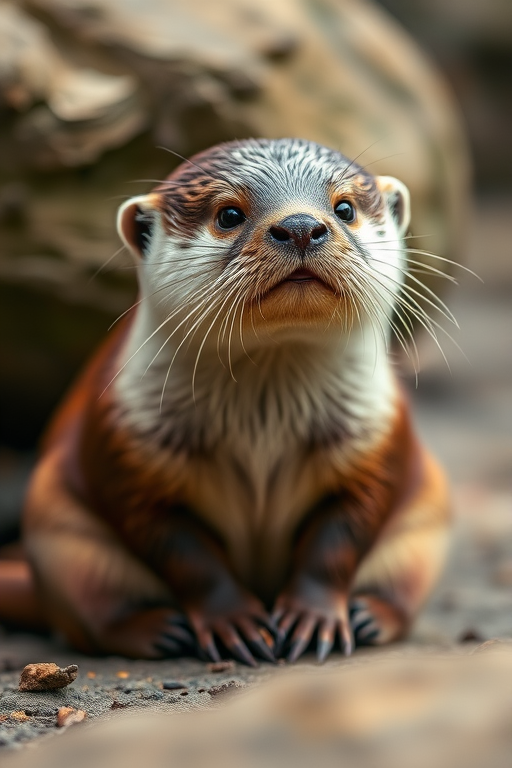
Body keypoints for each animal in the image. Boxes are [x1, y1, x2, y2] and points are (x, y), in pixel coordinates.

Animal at [4, 139, 450, 664]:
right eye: (229, 214)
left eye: (345, 209)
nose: (301, 225)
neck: (262, 426)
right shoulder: (126, 454)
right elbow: (185, 554)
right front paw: (234, 622)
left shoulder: (375, 444)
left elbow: (338, 543)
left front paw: (313, 618)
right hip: (60, 532)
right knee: (92, 617)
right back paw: (154, 630)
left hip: (427, 517)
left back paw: (372, 616)